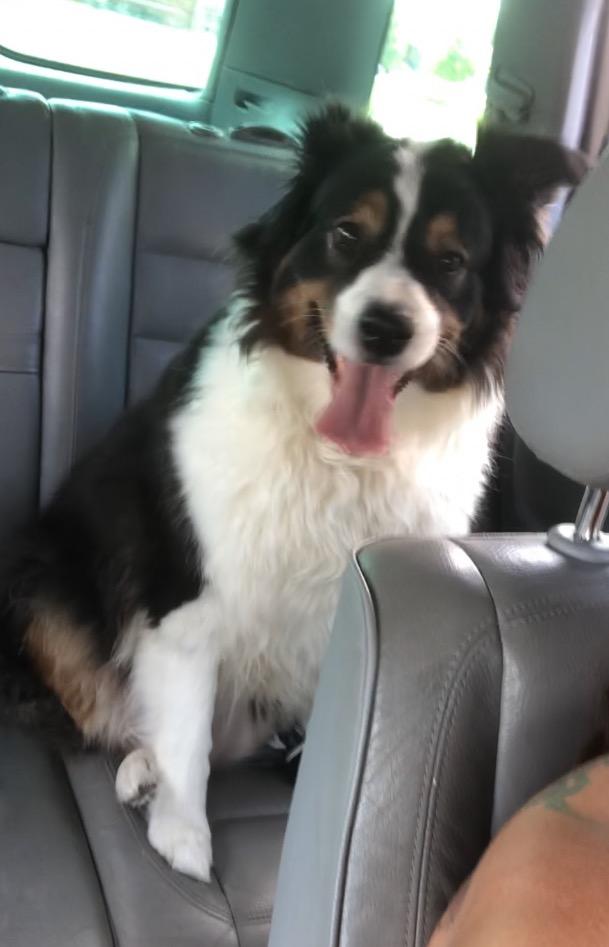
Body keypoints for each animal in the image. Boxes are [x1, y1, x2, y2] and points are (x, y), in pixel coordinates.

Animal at [0, 104, 586, 880]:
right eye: (345, 233)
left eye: (451, 260)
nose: (385, 327)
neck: (340, 456)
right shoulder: (188, 590)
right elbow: (184, 723)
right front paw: (184, 833)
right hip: (42, 575)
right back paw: (141, 769)